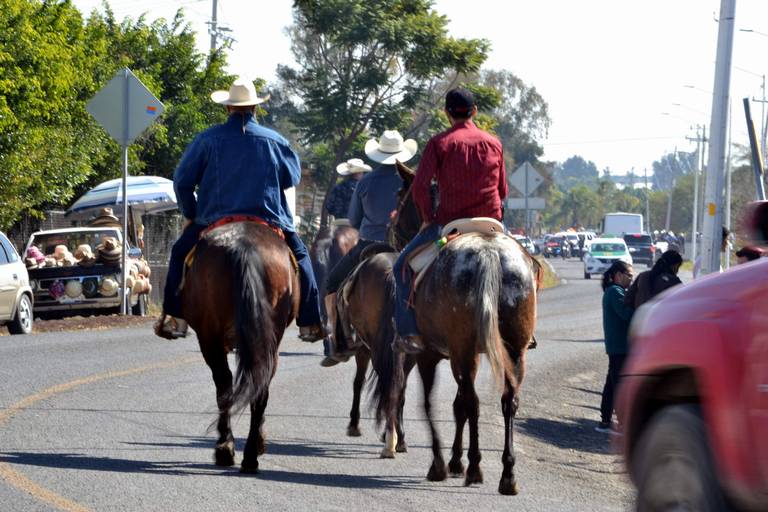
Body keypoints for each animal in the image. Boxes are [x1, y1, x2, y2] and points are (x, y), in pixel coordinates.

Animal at [182, 220, 298, 472]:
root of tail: (244, 246)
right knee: (253, 387)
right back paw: (248, 453)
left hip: (210, 338)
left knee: (226, 384)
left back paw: (228, 447)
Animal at [390, 161, 540, 496]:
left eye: (400, 197)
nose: (389, 228)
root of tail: (488, 253)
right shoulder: (465, 353)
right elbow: (457, 405)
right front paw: (456, 460)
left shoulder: (431, 354)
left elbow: (430, 403)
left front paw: (441, 464)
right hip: (512, 349)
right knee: (507, 401)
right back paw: (507, 474)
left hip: (463, 350)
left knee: (473, 402)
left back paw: (475, 468)